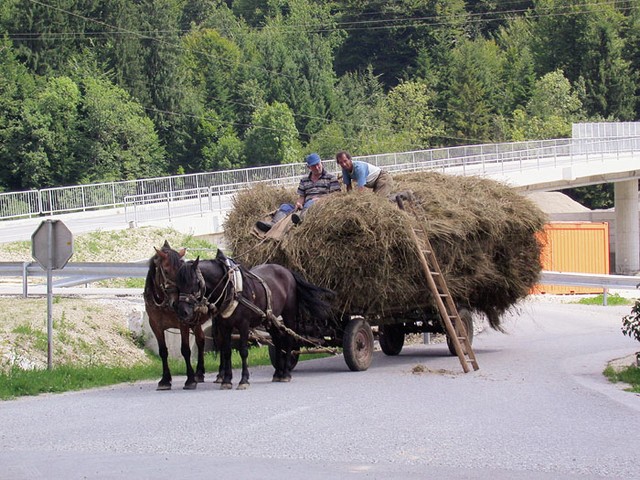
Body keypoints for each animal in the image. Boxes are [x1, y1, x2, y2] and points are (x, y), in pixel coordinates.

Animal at [142, 240, 208, 390]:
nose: (177, 303)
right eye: (166, 271)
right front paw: (165, 380)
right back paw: (199, 373)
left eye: (181, 271)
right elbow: (163, 351)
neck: (164, 302)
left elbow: (185, 350)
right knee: (200, 340)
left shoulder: (183, 323)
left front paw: (190, 380)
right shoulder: (155, 326)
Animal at [175, 249, 336, 388]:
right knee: (278, 340)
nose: (183, 312)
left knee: (289, 339)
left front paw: (244, 380)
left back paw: (286, 373)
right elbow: (226, 352)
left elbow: (243, 351)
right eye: (178, 284)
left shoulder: (244, 325)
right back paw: (278, 373)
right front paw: (226, 380)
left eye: (195, 283)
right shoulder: (224, 326)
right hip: (270, 318)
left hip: (289, 314)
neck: (231, 288)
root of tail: (287, 271)